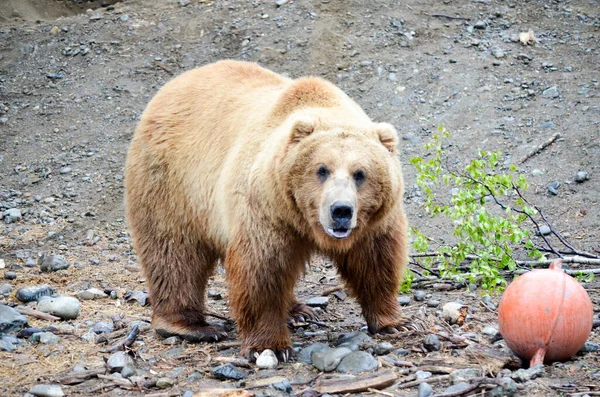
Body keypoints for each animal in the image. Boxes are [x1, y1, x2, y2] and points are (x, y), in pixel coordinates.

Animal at [125, 60, 408, 360]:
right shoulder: (265, 207)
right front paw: (270, 345)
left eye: (360, 173)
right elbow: (261, 271)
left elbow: (377, 260)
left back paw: (298, 311)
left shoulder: (375, 222)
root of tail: (173, 84)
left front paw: (393, 322)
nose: (340, 210)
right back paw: (190, 326)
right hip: (171, 183)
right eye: (321, 169)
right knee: (174, 254)